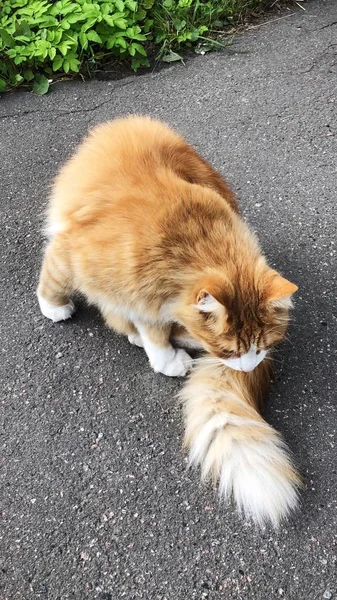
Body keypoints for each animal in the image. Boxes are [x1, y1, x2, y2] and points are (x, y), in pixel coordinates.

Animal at [38, 113, 300, 524]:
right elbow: (54, 278)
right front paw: (53, 306)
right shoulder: (77, 254)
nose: (249, 366)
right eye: (227, 351)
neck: (185, 248)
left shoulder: (150, 295)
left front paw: (162, 352)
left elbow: (155, 327)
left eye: (263, 348)